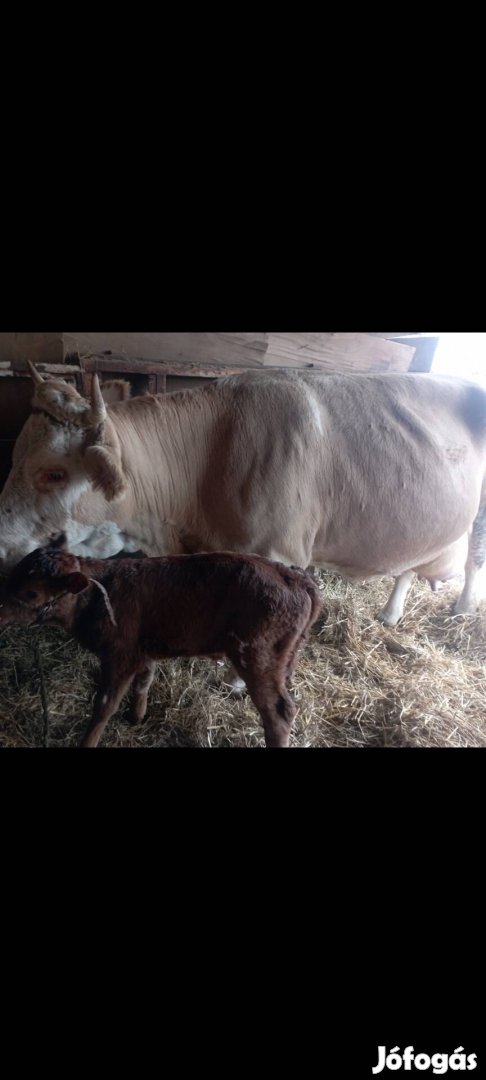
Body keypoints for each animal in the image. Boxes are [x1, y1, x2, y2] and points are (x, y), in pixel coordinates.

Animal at [0, 362, 483, 626]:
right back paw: (391, 613)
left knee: (472, 559)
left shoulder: (279, 553)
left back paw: (462, 608)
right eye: (15, 456)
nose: (2, 543)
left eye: (54, 473)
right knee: (410, 563)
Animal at [0, 535, 321, 747]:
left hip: (258, 658)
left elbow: (104, 705)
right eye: (14, 572)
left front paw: (89, 741)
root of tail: (293, 575)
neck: (99, 596)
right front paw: (136, 716)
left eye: (32, 593)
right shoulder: (144, 650)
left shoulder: (120, 657)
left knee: (280, 713)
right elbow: (145, 680)